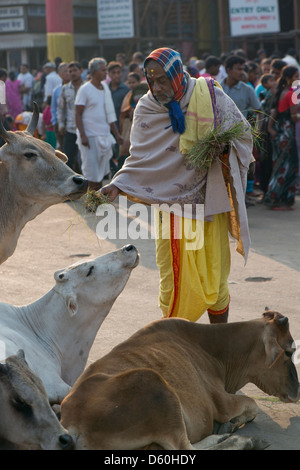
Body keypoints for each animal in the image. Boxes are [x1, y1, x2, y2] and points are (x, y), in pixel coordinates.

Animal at [59, 310, 298, 450]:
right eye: (288, 351)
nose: (297, 390)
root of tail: (70, 424)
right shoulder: (223, 402)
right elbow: (253, 405)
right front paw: (232, 423)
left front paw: (229, 425)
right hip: (156, 389)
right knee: (186, 449)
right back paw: (245, 441)